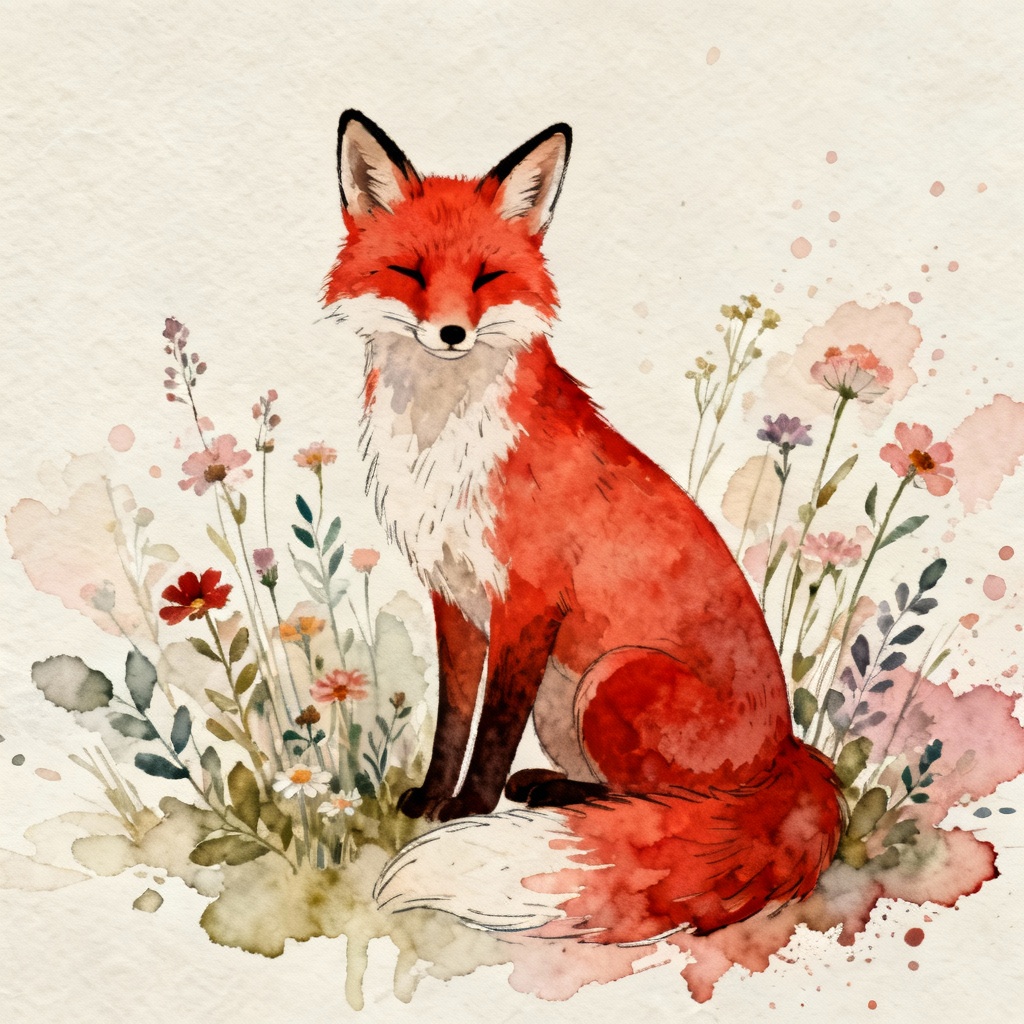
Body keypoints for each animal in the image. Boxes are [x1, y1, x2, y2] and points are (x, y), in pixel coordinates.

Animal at [323, 111, 845, 944]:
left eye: (486, 277)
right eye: (409, 272)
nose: (450, 333)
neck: (444, 439)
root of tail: (790, 753)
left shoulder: (528, 601)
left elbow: (492, 732)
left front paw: (468, 811)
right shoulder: (455, 597)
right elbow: (453, 718)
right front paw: (433, 799)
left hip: (611, 679)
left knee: (665, 804)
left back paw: (554, 799)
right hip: (566, 696)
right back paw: (549, 786)